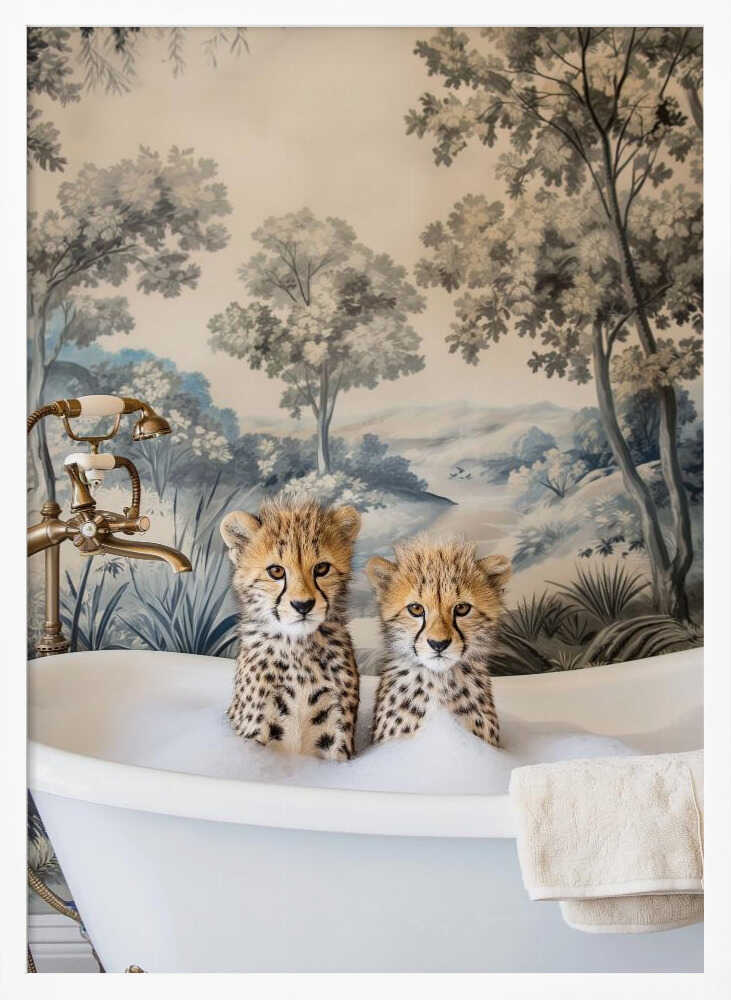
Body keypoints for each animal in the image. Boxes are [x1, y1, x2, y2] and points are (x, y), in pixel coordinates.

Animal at [220, 496, 361, 761]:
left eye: (322, 569)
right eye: (276, 571)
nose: (303, 605)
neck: (297, 647)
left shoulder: (337, 739)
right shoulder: (256, 730)